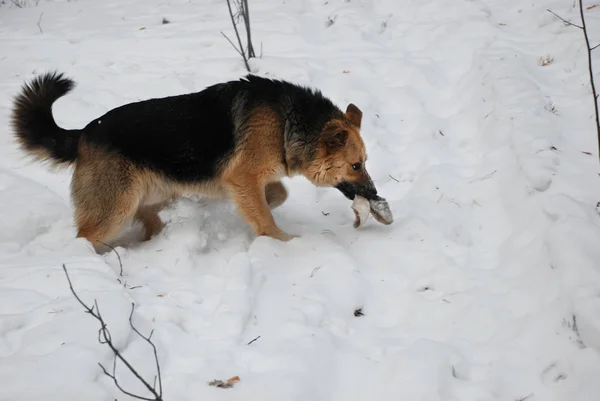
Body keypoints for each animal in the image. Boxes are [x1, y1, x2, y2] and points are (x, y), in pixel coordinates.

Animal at [10, 70, 380, 248]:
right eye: (356, 165)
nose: (375, 195)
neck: (287, 121)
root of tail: (84, 133)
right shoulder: (242, 177)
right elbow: (265, 215)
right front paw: (283, 243)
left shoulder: (250, 179)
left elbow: (276, 195)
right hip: (115, 210)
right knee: (86, 238)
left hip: (153, 193)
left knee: (148, 219)